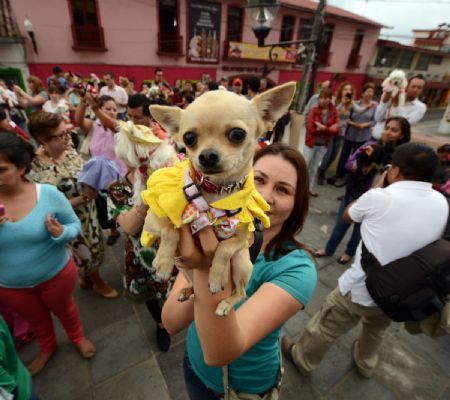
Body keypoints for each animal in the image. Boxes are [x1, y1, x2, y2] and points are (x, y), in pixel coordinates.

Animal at [141, 83, 296, 316]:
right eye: (189, 138)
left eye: (237, 134)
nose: (206, 156)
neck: (216, 189)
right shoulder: (152, 219)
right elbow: (171, 229)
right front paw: (163, 262)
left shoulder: (240, 239)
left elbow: (224, 249)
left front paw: (216, 278)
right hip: (185, 268)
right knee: (194, 284)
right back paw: (187, 290)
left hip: (242, 261)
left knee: (241, 292)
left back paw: (225, 303)